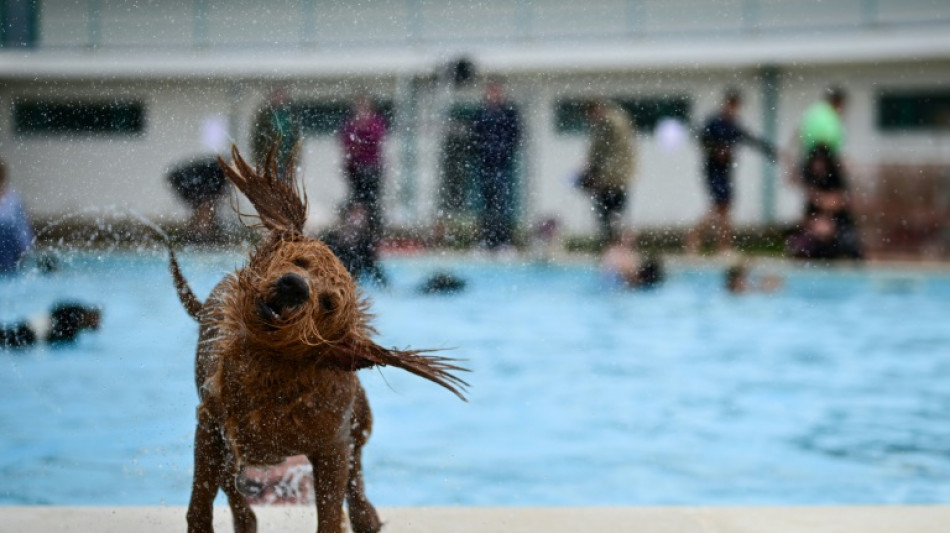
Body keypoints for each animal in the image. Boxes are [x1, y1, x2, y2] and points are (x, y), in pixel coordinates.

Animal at [171, 145, 468, 532]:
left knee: (356, 479)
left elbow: (331, 506)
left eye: (328, 302)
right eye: (300, 261)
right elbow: (202, 498)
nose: (293, 286)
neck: (273, 381)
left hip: (359, 422)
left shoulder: (332, 446)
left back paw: (365, 516)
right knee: (232, 485)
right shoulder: (210, 424)